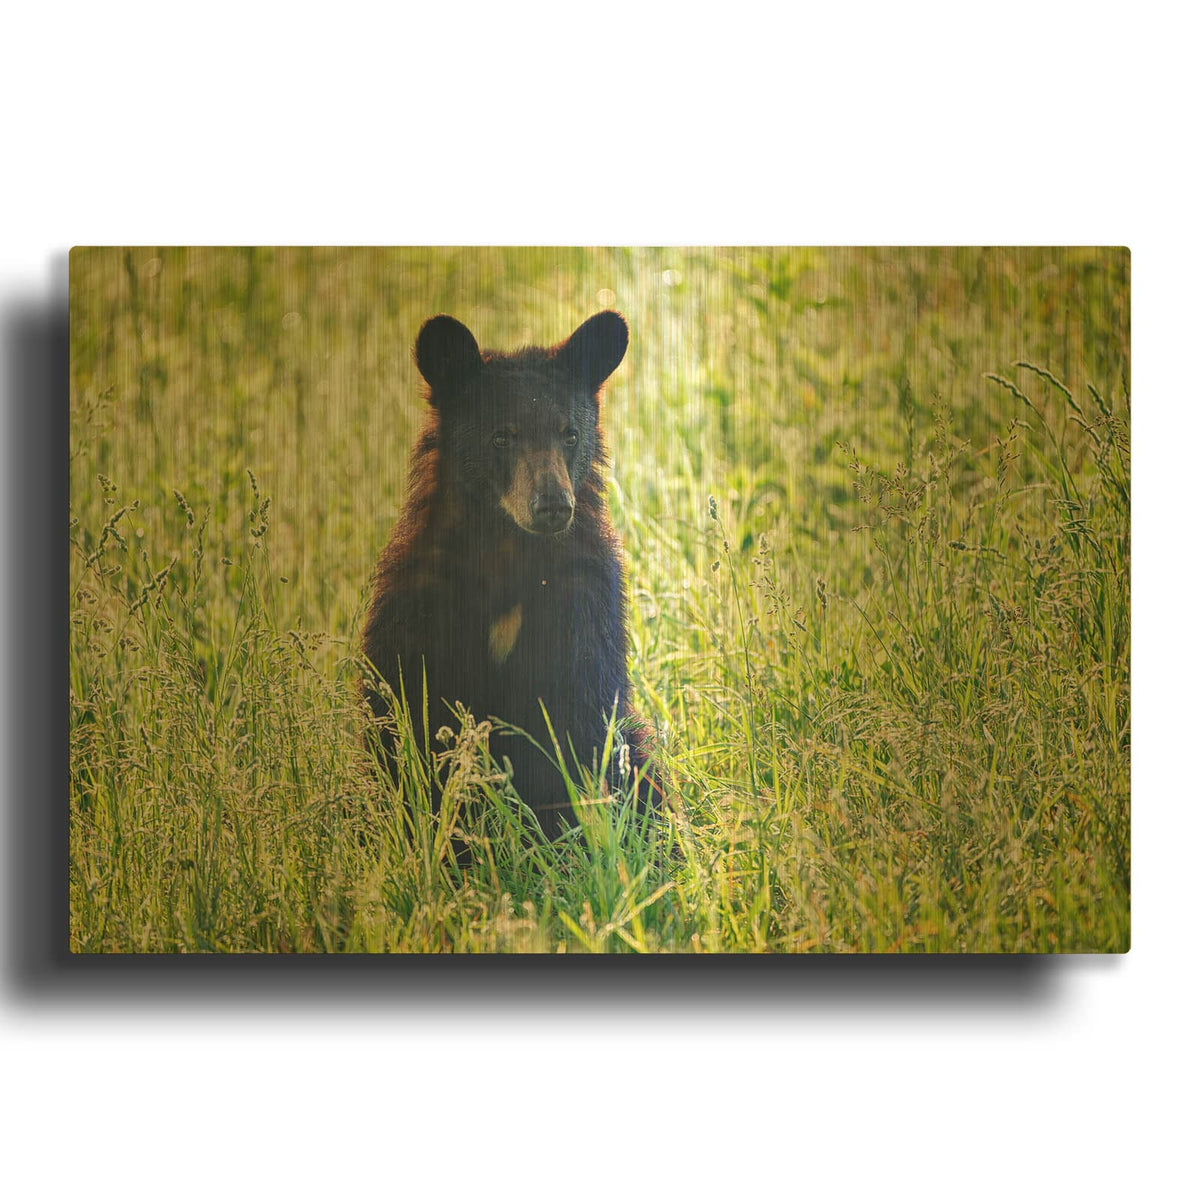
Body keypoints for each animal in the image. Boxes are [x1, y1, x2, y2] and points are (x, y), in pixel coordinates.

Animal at [362, 310, 661, 844]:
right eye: (502, 436)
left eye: (569, 434)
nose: (552, 505)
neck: (508, 549)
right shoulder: (419, 598)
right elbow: (406, 711)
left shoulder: (583, 595)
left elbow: (577, 722)